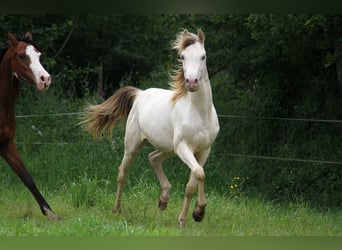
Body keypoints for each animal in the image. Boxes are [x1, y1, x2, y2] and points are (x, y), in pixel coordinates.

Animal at [0, 31, 59, 221]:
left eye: (39, 55)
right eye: (21, 56)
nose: (45, 79)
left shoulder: (6, 144)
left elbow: (27, 178)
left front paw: (49, 212)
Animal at [80, 29, 219, 229]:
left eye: (203, 56)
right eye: (183, 57)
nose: (191, 82)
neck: (200, 113)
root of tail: (140, 94)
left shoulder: (204, 150)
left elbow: (192, 183)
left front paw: (192, 216)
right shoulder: (184, 147)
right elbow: (199, 174)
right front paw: (198, 213)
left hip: (169, 148)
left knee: (153, 157)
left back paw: (163, 200)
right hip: (134, 146)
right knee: (123, 173)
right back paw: (116, 209)